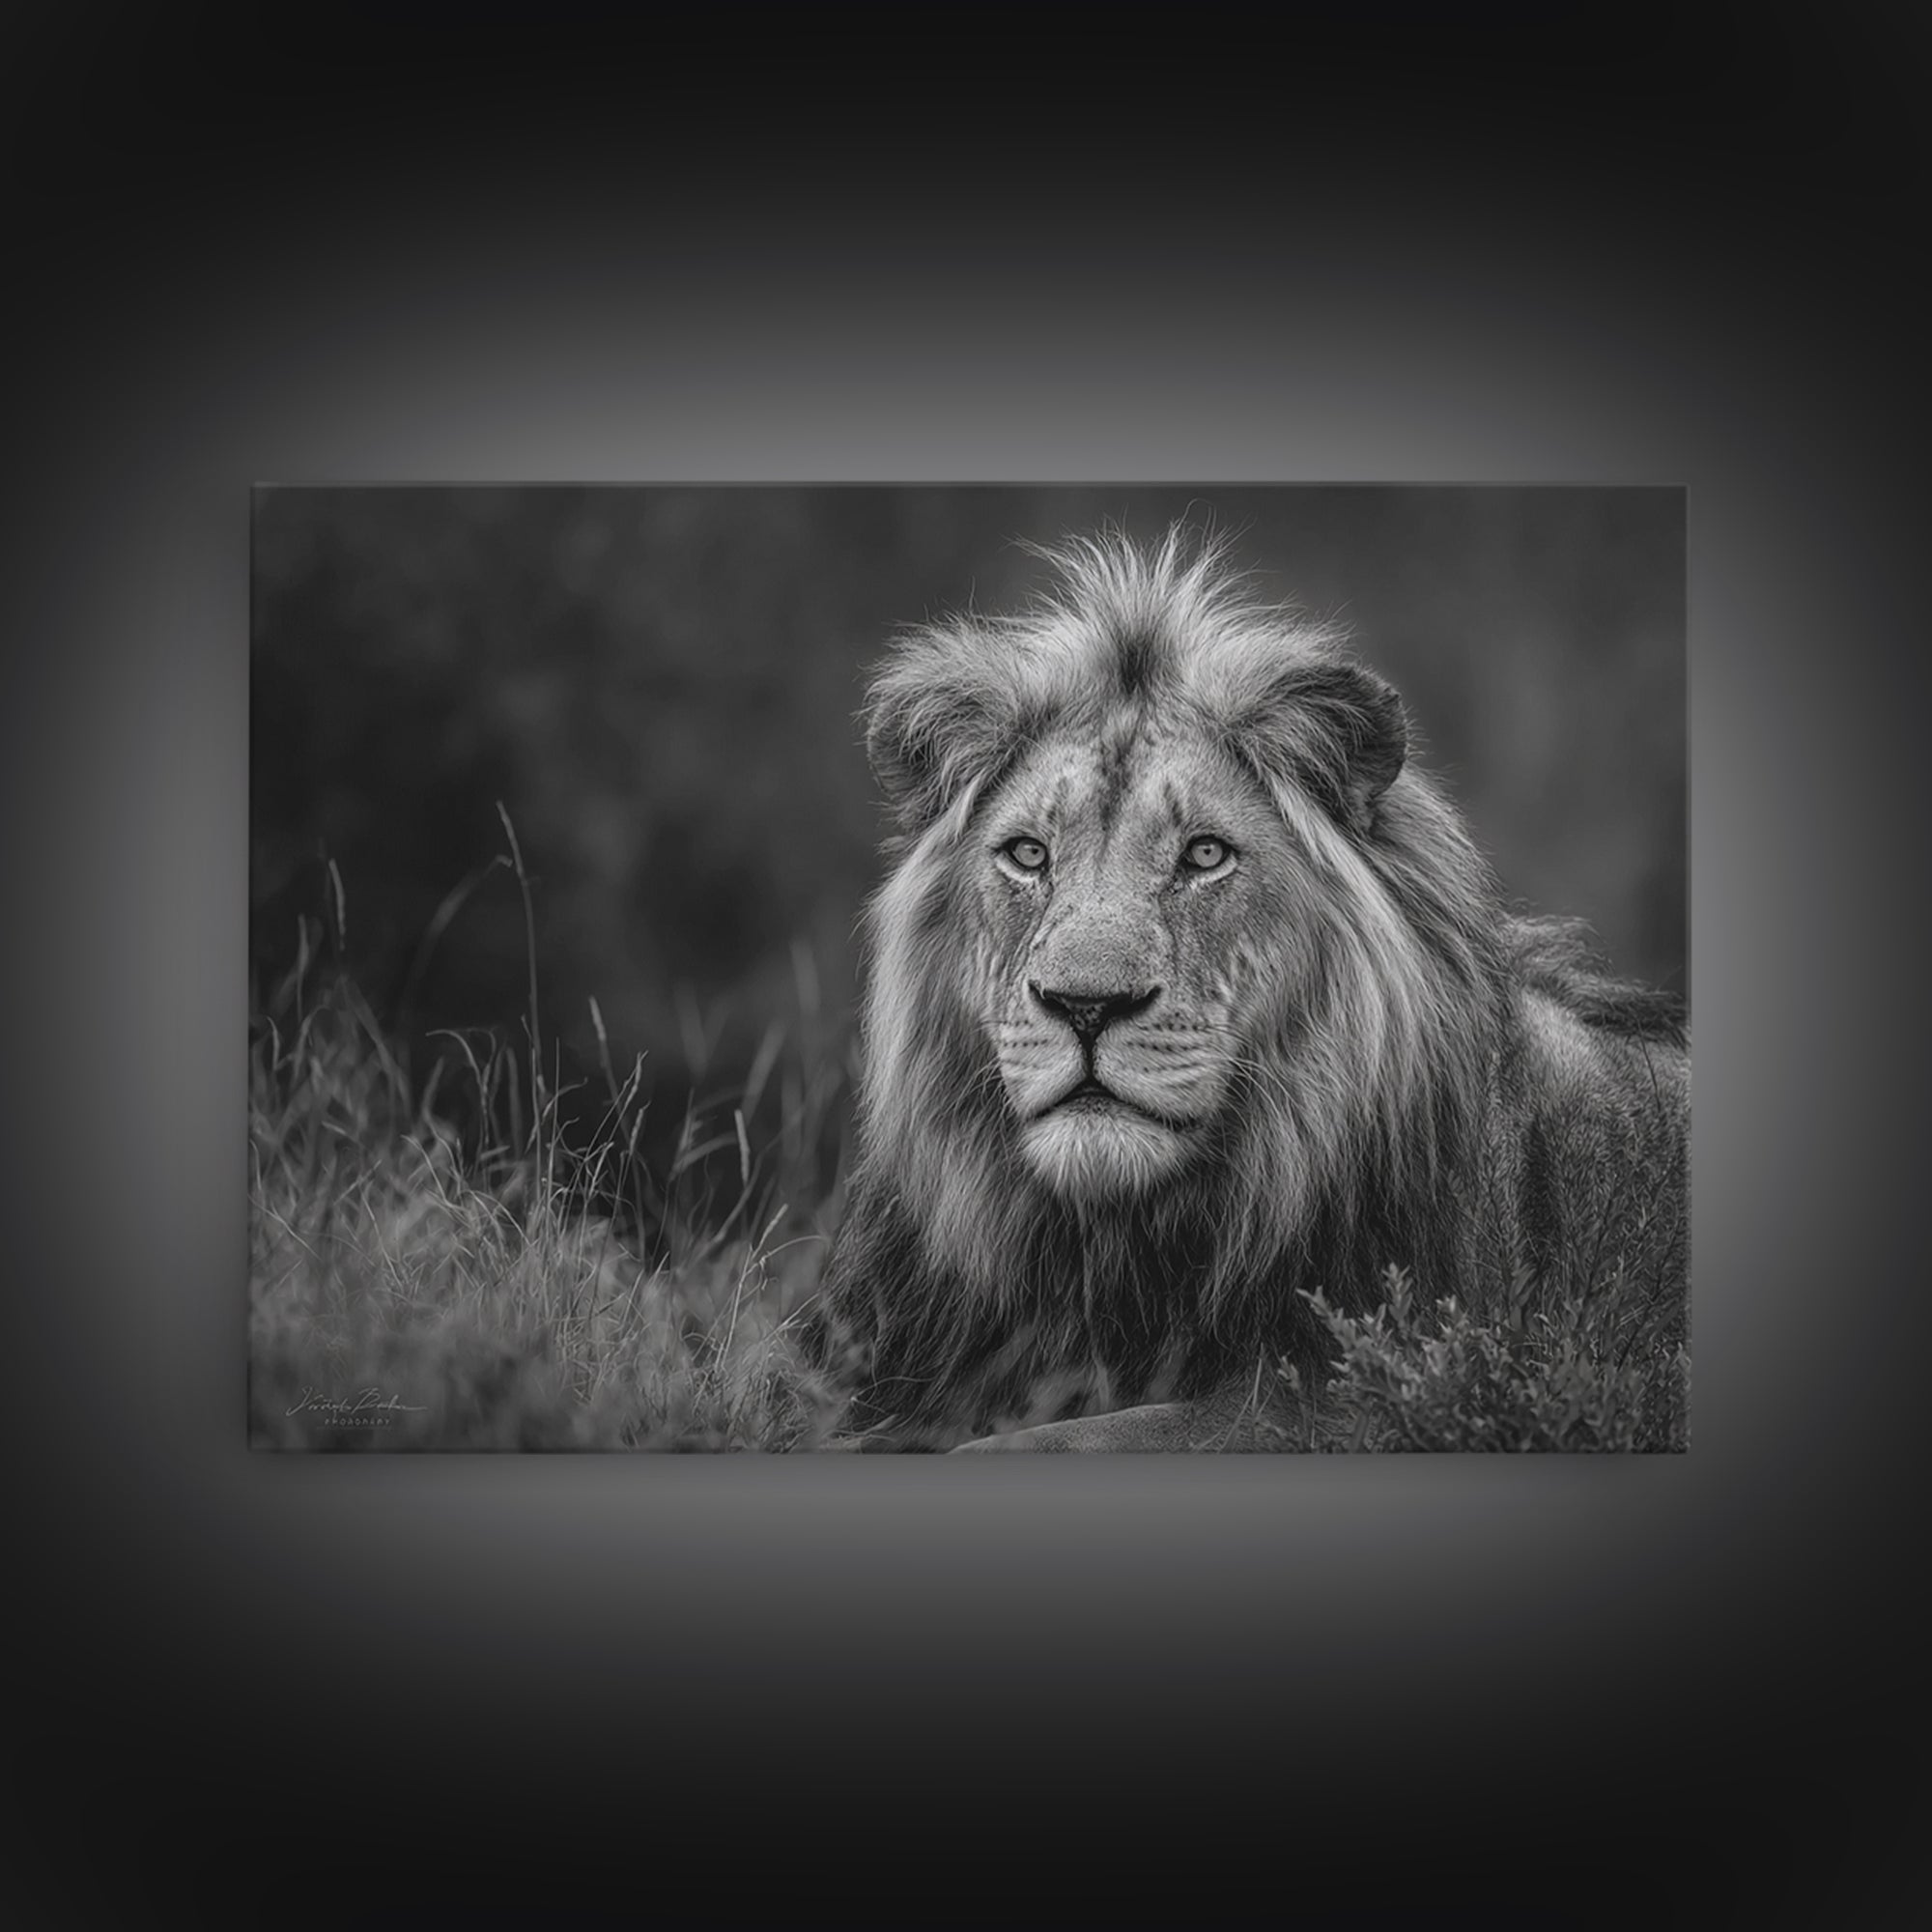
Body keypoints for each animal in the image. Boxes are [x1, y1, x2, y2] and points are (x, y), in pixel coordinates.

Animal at [810, 528, 1687, 1451]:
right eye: (1027, 855)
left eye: (1205, 855)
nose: (1086, 1006)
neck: (1111, 1253)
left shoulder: (1362, 1395)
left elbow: (1063, 1439)